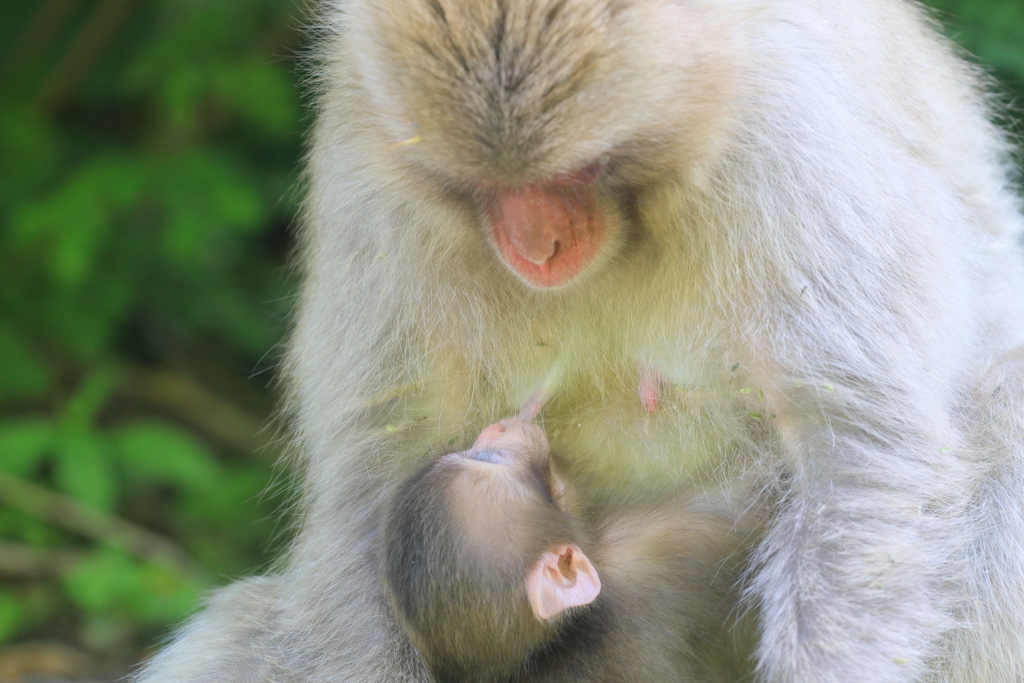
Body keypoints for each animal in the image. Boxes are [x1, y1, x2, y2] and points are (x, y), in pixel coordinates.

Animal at [136, 0, 1024, 679]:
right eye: (484, 185)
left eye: (576, 171)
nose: (538, 246)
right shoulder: (370, 156)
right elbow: (373, 473)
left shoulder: (792, 141)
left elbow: (861, 451)